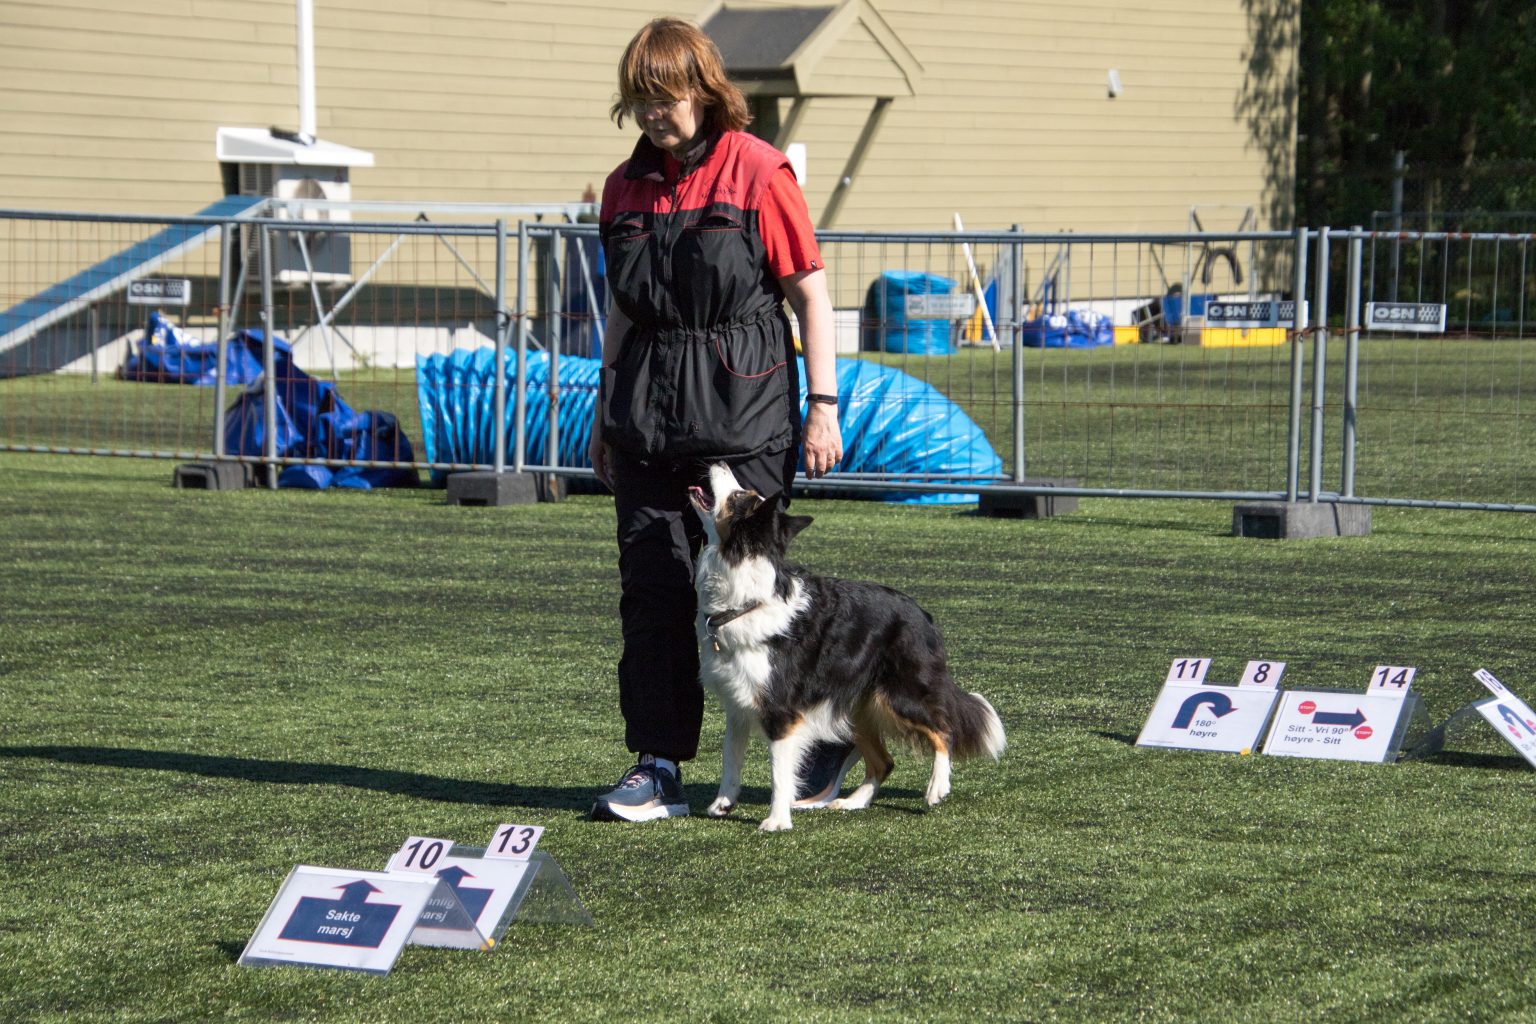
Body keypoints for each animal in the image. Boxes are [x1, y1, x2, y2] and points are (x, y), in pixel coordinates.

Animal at [688, 460, 1001, 829]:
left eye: (738, 496)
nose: (719, 461)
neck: (744, 599)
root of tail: (922, 613)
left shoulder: (781, 710)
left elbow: (779, 772)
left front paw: (777, 821)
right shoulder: (738, 702)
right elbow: (730, 757)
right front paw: (722, 803)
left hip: (900, 694)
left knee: (943, 727)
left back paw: (937, 787)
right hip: (855, 707)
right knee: (884, 761)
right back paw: (854, 802)